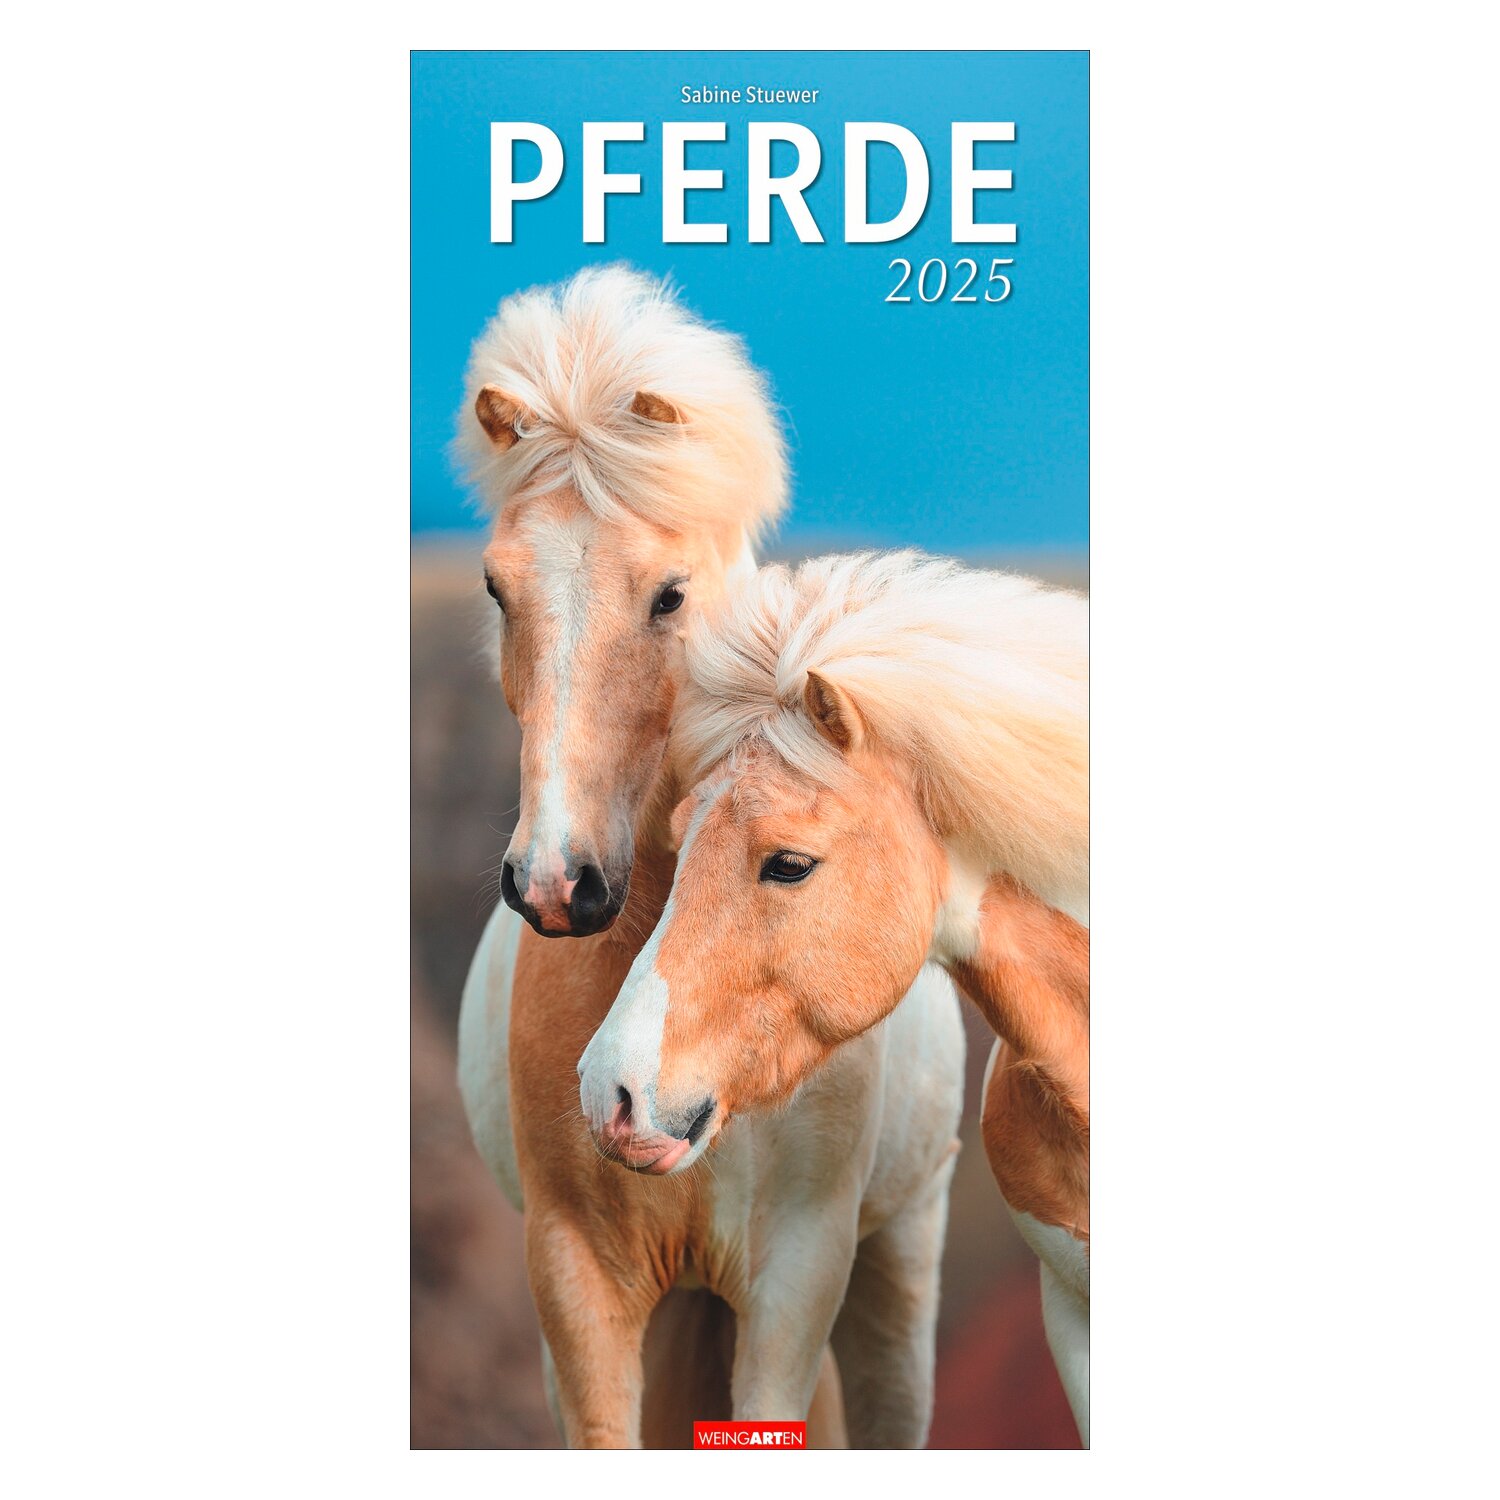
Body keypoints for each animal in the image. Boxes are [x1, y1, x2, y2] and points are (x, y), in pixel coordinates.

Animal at [452, 270, 966, 1448]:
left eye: (669, 595)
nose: (557, 883)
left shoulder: (795, 1277)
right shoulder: (576, 1283)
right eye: (499, 589)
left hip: (895, 1271)